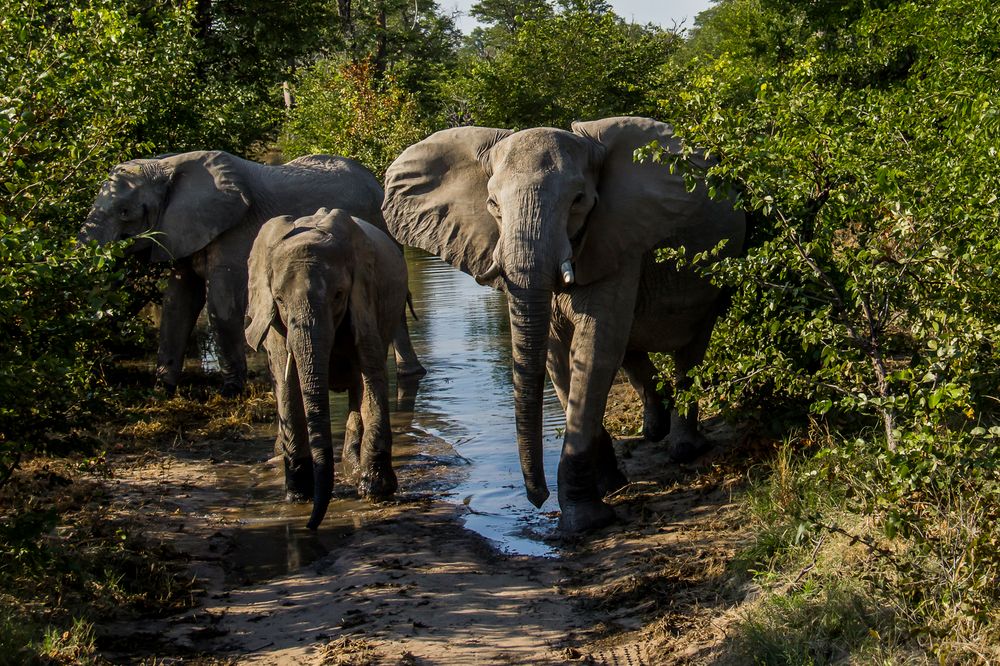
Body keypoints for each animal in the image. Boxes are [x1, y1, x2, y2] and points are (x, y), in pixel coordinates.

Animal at [78, 150, 422, 396]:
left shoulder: (234, 230)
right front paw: (161, 389)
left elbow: (221, 304)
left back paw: (409, 375)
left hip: (379, 226)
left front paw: (230, 391)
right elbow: (177, 301)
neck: (165, 165)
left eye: (125, 212)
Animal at [380, 116, 744, 532]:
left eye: (578, 201)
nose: (538, 498)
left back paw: (685, 448)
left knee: (689, 349)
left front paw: (585, 521)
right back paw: (655, 428)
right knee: (633, 349)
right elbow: (557, 353)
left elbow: (596, 346)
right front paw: (608, 486)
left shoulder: (616, 235)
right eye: (492, 205)